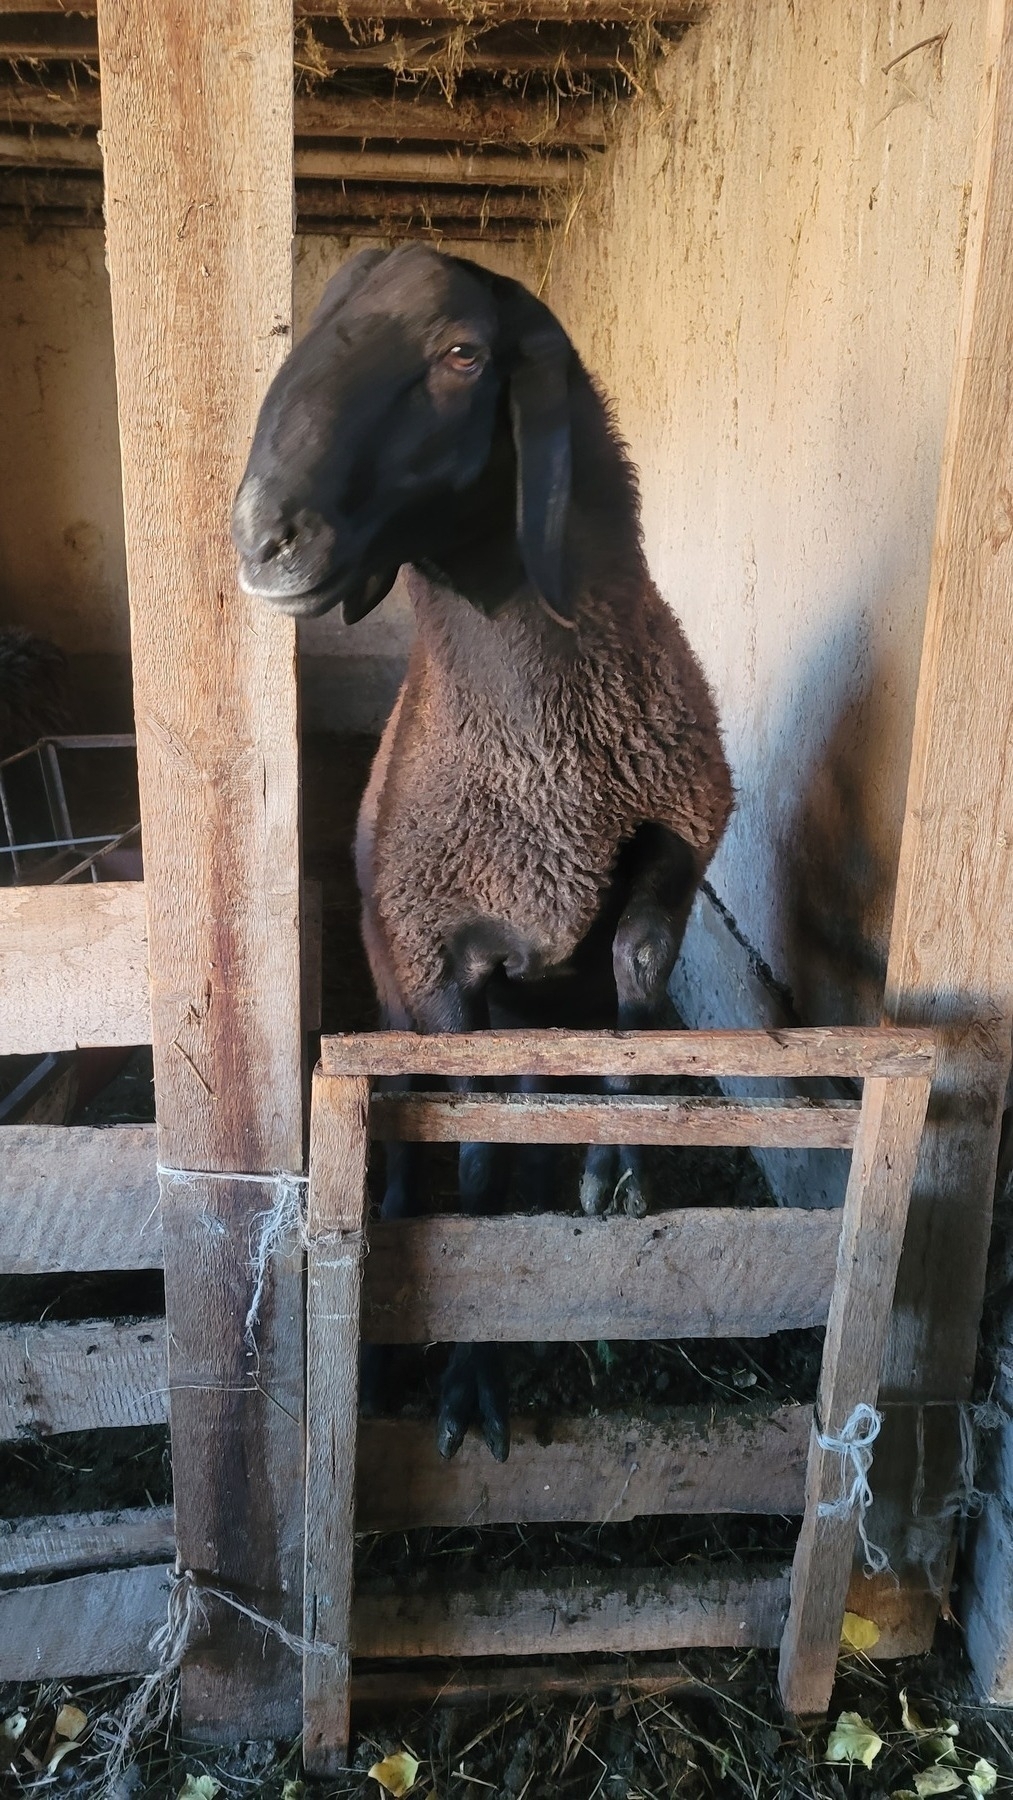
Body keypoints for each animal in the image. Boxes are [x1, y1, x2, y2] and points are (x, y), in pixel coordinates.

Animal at [233, 246, 734, 1461]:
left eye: (461, 352)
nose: (260, 537)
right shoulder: (436, 966)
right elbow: (474, 1163)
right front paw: (465, 1381)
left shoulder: (684, 826)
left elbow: (638, 975)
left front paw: (616, 1166)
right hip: (395, 1003)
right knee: (425, 1139)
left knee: (534, 1078)